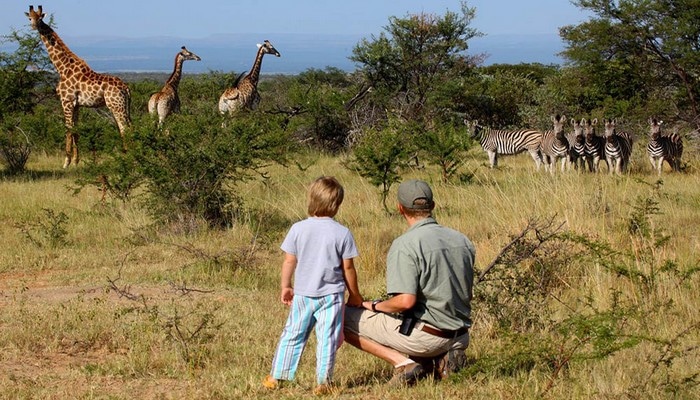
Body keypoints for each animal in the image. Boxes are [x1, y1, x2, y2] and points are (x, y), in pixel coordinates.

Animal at [24, 4, 131, 167]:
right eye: (30, 18)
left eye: (40, 18)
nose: (34, 26)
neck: (62, 68)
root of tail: (126, 88)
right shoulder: (77, 105)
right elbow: (76, 130)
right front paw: (75, 161)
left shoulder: (66, 101)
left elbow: (68, 129)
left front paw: (66, 162)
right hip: (123, 106)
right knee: (129, 127)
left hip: (115, 106)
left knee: (124, 128)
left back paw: (128, 158)